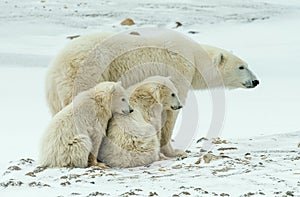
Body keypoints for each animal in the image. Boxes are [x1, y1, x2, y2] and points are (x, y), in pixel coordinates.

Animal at [45, 27, 258, 157]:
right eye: (242, 66)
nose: (256, 81)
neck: (194, 57)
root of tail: (58, 65)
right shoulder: (178, 71)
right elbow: (170, 111)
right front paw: (174, 151)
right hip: (89, 71)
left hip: (56, 91)